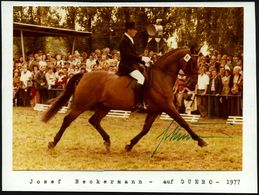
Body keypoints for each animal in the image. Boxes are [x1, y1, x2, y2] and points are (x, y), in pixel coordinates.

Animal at [42, 47, 209, 152]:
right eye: (193, 62)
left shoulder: (155, 110)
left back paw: (107, 141)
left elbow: (145, 129)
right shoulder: (167, 106)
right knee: (68, 120)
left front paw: (129, 145)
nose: (192, 83)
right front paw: (201, 141)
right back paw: (52, 143)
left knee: (94, 121)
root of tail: (85, 74)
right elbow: (184, 122)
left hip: (104, 106)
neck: (162, 76)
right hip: (81, 105)